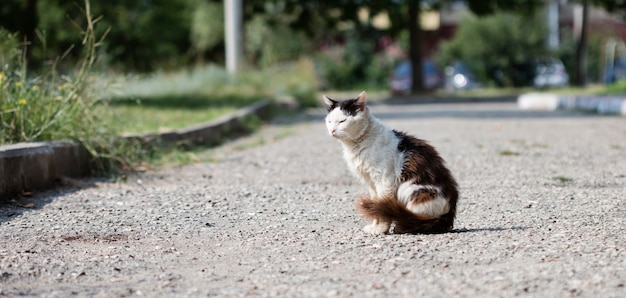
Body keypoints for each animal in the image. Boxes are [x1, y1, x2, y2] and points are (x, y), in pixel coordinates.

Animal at [324, 91, 456, 235]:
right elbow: (376, 206)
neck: (358, 143)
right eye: (329, 121)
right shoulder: (372, 183)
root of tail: (450, 213)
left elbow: (383, 209)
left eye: (342, 121)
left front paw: (381, 229)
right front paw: (375, 226)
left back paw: (405, 225)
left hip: (410, 189)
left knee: (420, 219)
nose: (332, 131)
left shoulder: (385, 180)